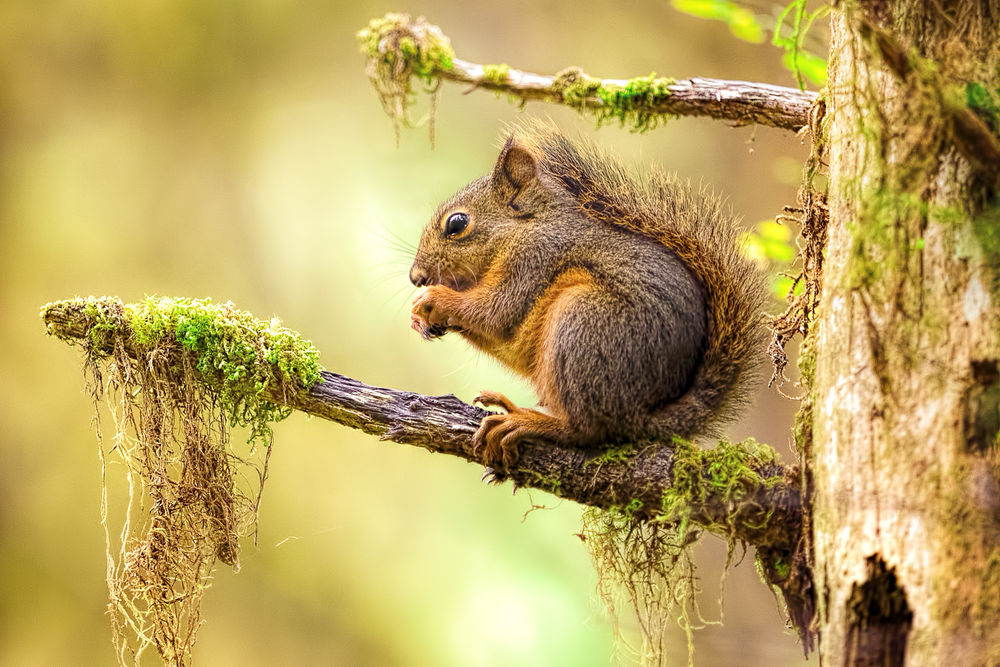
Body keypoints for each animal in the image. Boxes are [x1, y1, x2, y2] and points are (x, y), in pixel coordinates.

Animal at [406, 122, 764, 468]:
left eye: (456, 224)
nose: (416, 277)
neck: (526, 226)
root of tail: (641, 417)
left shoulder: (534, 258)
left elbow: (497, 312)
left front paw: (434, 300)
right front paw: (421, 318)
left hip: (582, 325)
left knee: (586, 429)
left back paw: (526, 421)